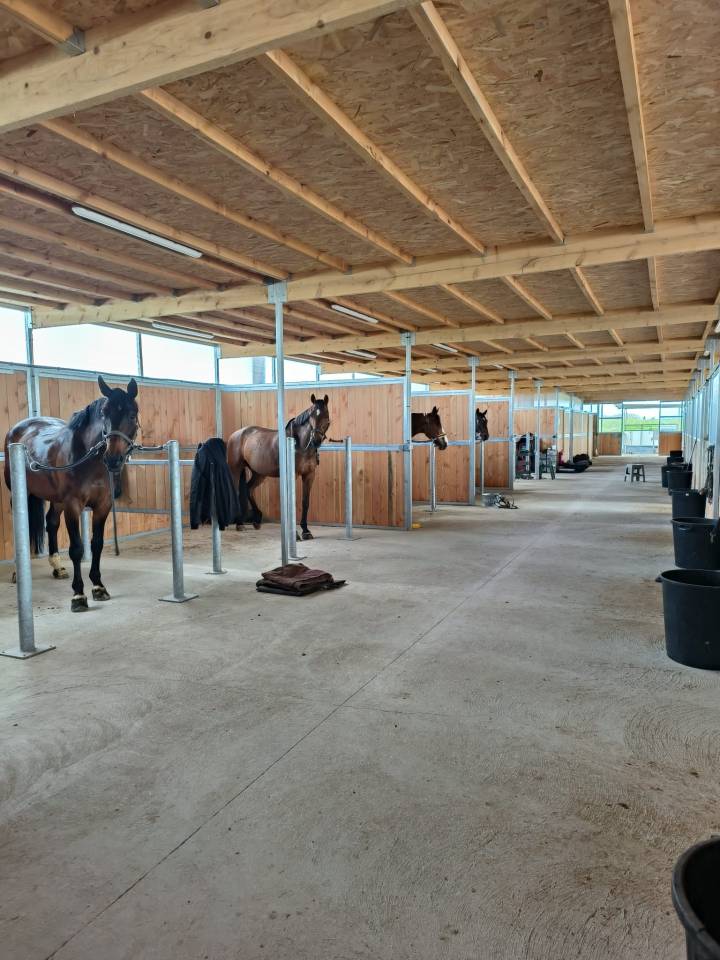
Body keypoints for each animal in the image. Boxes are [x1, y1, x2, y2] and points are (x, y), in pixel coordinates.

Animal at [3, 376, 139, 612]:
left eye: (132, 414)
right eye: (104, 414)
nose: (113, 460)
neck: (88, 459)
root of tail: (17, 429)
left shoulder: (103, 505)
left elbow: (97, 544)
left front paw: (98, 586)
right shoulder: (73, 505)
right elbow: (76, 548)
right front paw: (78, 595)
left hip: (56, 500)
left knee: (51, 522)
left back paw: (57, 567)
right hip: (21, 494)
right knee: (21, 527)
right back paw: (17, 573)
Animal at [227, 394, 330, 541]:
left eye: (326, 416)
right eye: (311, 416)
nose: (316, 440)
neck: (299, 443)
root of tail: (236, 434)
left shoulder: (309, 475)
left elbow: (305, 502)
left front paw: (306, 531)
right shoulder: (292, 474)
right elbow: (291, 501)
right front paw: (295, 534)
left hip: (259, 473)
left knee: (248, 489)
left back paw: (257, 520)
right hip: (235, 469)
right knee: (236, 492)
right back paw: (240, 523)